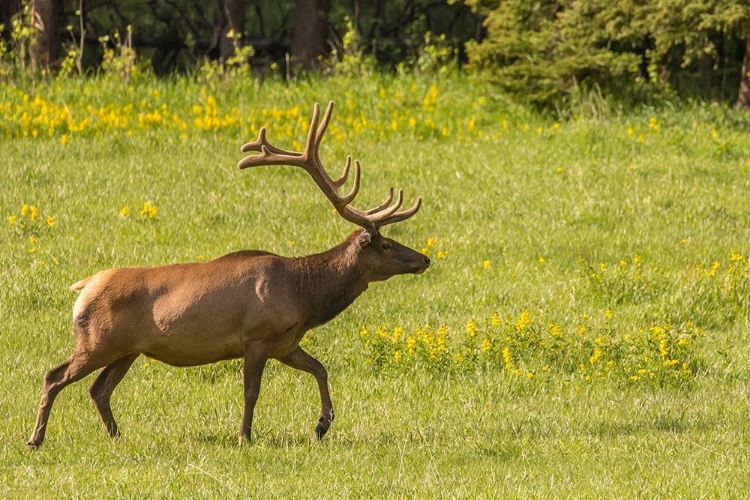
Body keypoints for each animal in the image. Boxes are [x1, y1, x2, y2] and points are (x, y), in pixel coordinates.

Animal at [27, 100, 428, 446]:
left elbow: (321, 369)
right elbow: (252, 391)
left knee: (99, 388)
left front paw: (322, 424)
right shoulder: (257, 336)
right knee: (54, 376)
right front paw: (244, 436)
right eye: (386, 245)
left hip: (127, 349)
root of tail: (83, 288)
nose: (424, 259)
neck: (304, 297)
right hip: (97, 341)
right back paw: (36, 438)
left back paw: (116, 436)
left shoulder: (286, 343)